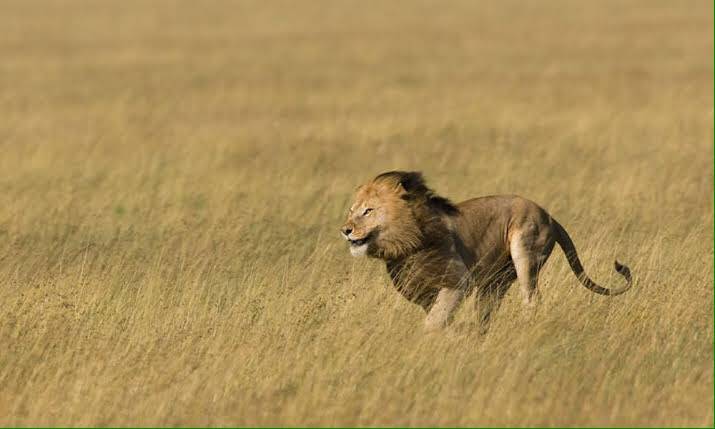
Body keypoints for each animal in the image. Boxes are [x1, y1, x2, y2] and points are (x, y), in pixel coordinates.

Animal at [340, 171, 632, 332]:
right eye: (351, 211)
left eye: (368, 211)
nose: (345, 230)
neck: (404, 248)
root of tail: (549, 215)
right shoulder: (424, 294)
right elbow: (438, 316)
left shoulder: (459, 280)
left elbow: (435, 321)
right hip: (495, 281)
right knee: (487, 312)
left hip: (525, 249)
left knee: (533, 299)